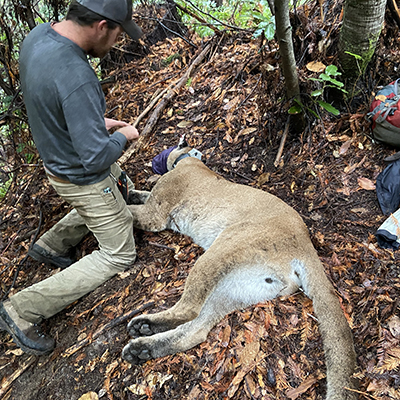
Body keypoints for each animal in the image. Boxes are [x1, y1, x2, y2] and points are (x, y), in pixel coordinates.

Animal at [122, 138, 356, 400]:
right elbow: (142, 196)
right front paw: (133, 192)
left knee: (190, 309)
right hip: (235, 287)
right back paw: (142, 345)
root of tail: (306, 242)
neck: (189, 161)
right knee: (196, 329)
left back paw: (143, 330)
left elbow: (130, 212)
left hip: (223, 248)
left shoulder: (154, 214)